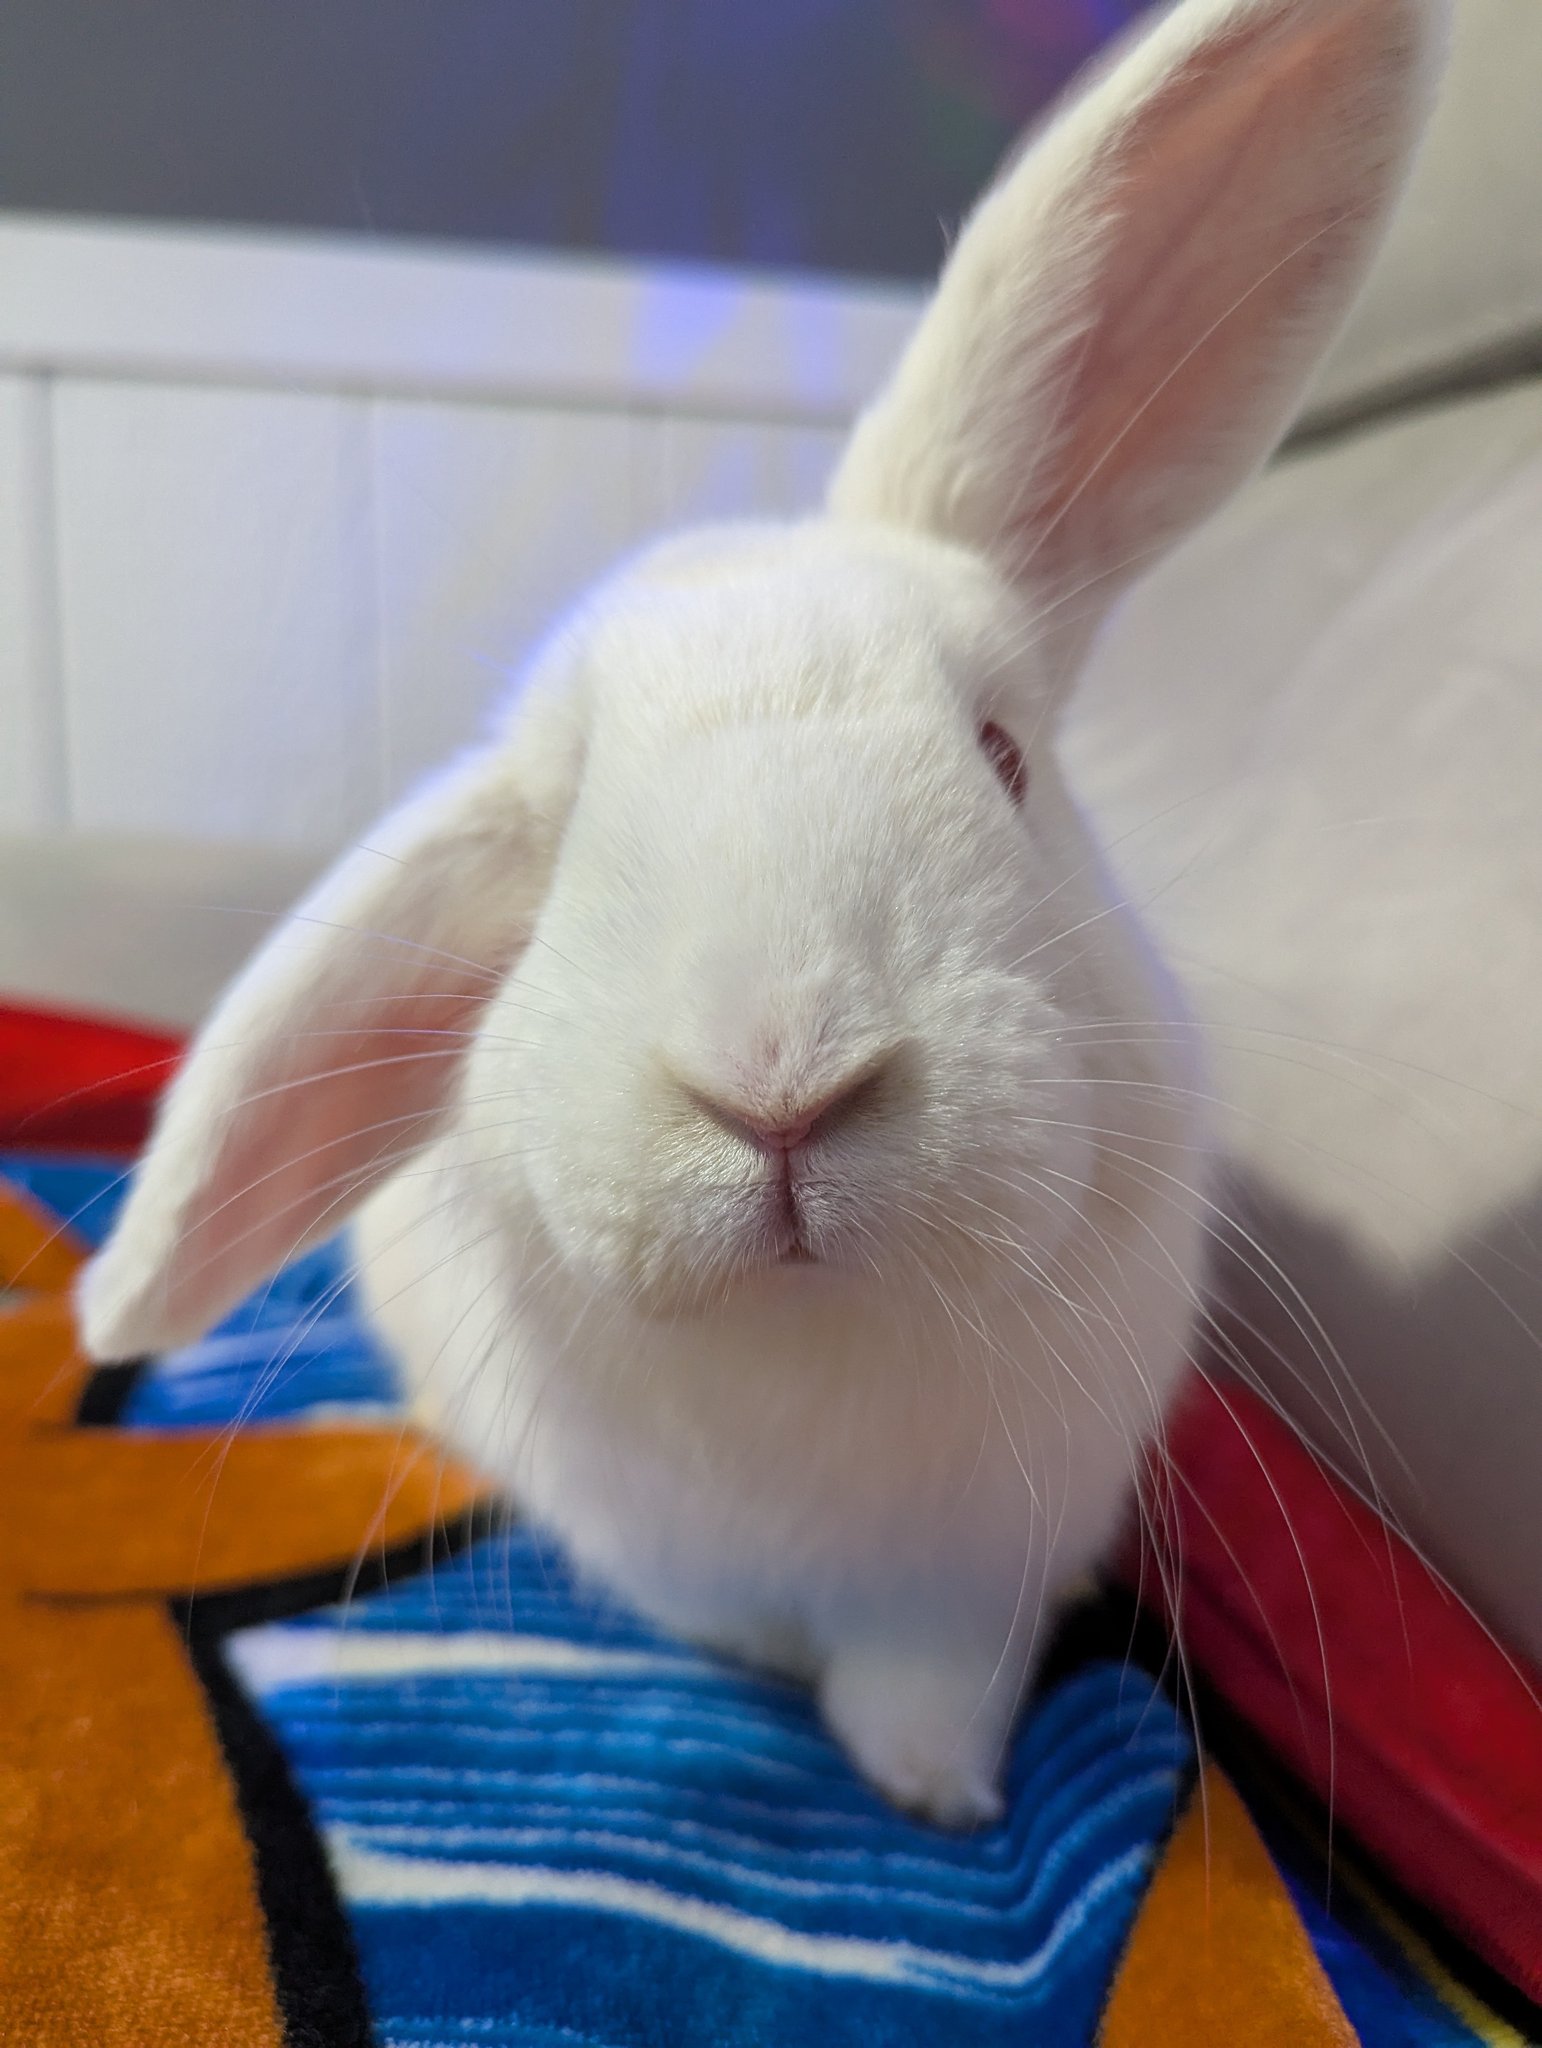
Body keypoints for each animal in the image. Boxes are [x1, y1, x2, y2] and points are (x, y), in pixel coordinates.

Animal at [78, 0, 1448, 1826]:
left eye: (1003, 754)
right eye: (564, 829)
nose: (780, 1078)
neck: (811, 1348)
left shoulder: (976, 1579)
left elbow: (927, 1694)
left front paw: (937, 1797)